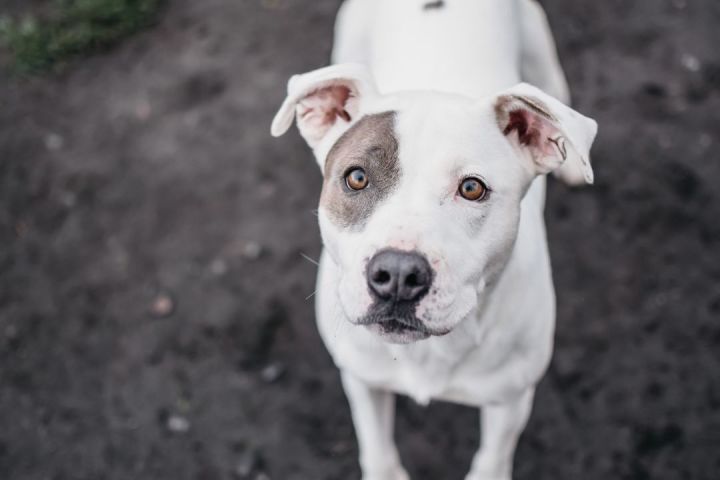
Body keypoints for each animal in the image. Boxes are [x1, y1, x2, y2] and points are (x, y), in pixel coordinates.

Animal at [270, 1, 596, 478]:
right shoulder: (361, 377)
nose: (397, 275)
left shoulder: (511, 399)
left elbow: (492, 460)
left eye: (472, 188)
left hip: (535, 38)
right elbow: (377, 447)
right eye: (356, 178)